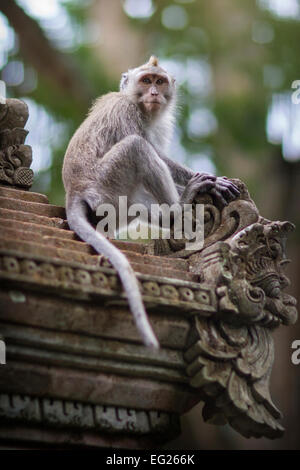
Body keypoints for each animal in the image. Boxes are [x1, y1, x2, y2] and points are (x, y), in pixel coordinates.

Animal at [62, 56, 239, 348]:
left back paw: (169, 215)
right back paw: (180, 205)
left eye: (159, 81)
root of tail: (74, 192)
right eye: (146, 81)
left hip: (113, 202)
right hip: (106, 182)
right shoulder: (126, 111)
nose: (154, 93)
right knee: (136, 147)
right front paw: (210, 181)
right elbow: (153, 151)